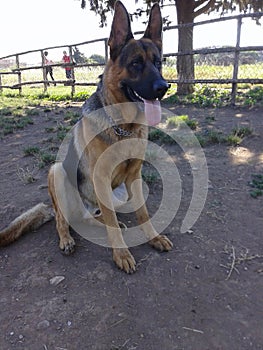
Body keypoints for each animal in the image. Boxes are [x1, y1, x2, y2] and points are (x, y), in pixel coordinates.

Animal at [0, 1, 173, 272]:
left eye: (158, 62)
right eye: (136, 63)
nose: (164, 87)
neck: (122, 126)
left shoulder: (134, 177)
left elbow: (143, 213)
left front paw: (153, 237)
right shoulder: (100, 178)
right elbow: (112, 222)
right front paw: (121, 254)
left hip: (117, 195)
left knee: (94, 217)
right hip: (57, 172)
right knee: (64, 220)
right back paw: (67, 239)